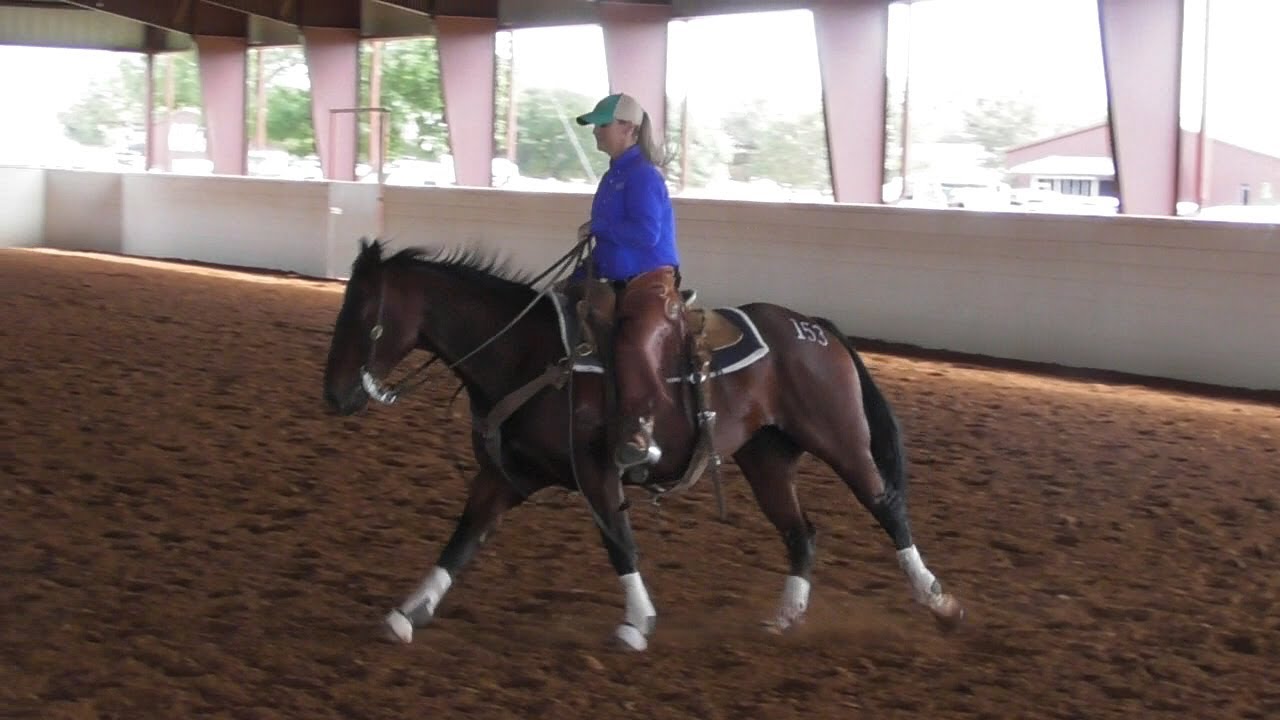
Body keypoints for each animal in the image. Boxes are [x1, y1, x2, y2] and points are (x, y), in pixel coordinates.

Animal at [322, 238, 964, 652]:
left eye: (363, 314)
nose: (334, 395)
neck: (529, 355)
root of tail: (815, 327)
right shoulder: (504, 477)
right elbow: (461, 542)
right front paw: (409, 612)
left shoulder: (597, 473)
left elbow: (619, 543)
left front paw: (638, 623)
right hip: (766, 457)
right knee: (800, 533)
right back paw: (784, 618)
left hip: (840, 438)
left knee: (886, 506)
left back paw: (939, 602)